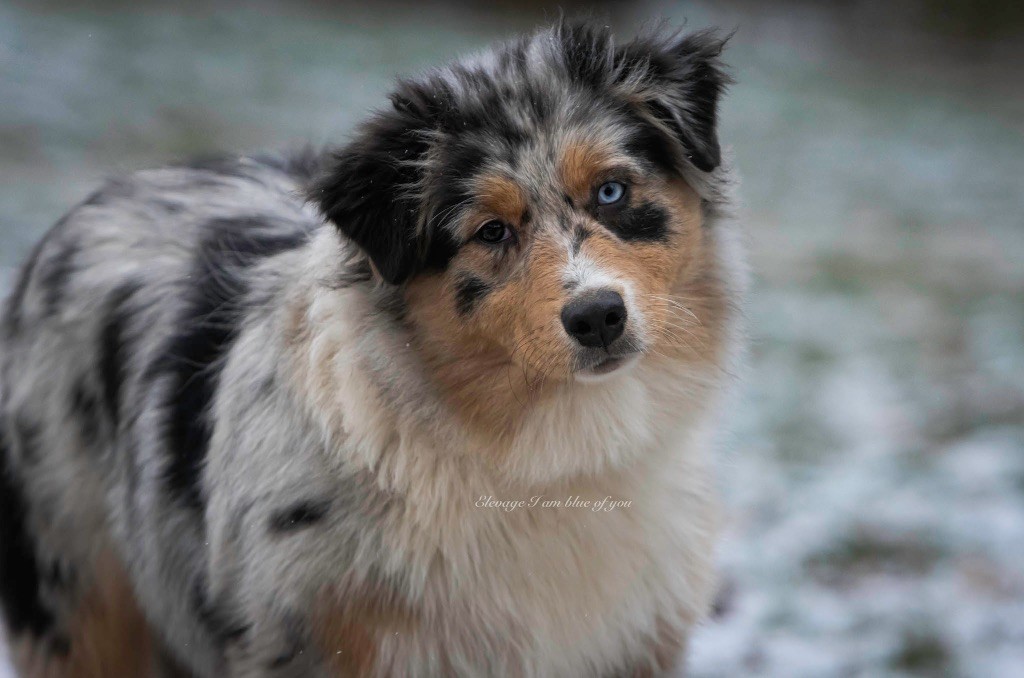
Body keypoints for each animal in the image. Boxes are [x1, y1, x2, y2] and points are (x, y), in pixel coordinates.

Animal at [0, 18, 741, 675]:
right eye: (491, 231)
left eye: (611, 190)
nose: (597, 317)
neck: (550, 457)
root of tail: (109, 189)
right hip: (77, 601)